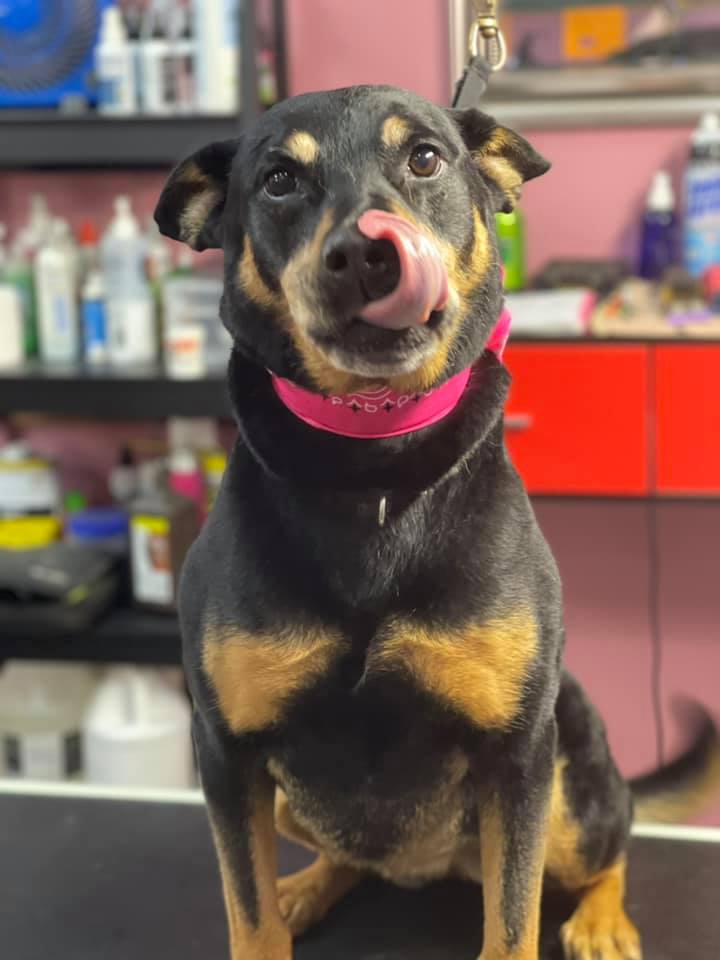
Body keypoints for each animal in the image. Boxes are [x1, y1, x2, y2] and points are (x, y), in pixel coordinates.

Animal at [155, 85, 720, 960]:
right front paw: (274, 910)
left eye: (425, 158)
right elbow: (249, 915)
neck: (374, 462)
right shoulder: (227, 754)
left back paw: (602, 921)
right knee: (350, 860)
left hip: (565, 784)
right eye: (279, 180)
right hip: (289, 803)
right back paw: (306, 888)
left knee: (611, 846)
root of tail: (430, 867)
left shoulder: (518, 756)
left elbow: (513, 921)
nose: (366, 255)